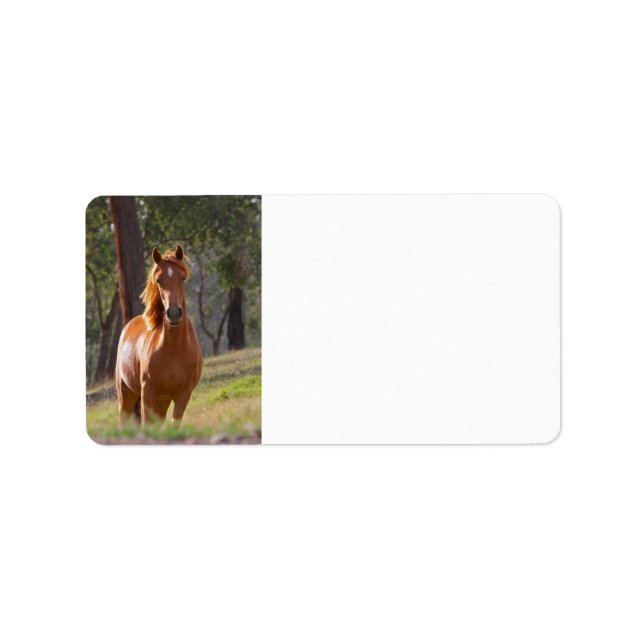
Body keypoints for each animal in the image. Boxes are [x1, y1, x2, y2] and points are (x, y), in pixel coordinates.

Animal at [115, 245, 203, 427]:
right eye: (159, 280)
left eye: (183, 278)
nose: (174, 314)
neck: (174, 349)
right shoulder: (148, 393)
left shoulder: (182, 396)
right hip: (126, 395)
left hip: (163, 401)